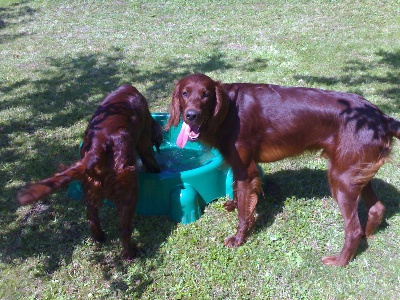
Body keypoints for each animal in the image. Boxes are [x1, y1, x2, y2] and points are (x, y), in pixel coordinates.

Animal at [18, 84, 162, 260]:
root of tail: (98, 146)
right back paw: (130, 253)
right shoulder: (144, 137)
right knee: (124, 229)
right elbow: (148, 154)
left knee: (92, 217)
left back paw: (100, 237)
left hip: (90, 185)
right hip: (129, 191)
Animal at [166, 74, 400, 266]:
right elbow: (236, 191)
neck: (228, 109)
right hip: (355, 173)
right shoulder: (238, 165)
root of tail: (381, 118)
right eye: (185, 93)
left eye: (205, 95)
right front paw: (233, 204)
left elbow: (243, 212)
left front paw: (238, 239)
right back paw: (367, 237)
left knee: (353, 229)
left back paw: (340, 261)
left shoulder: (246, 170)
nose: (191, 115)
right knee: (377, 208)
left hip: (341, 179)